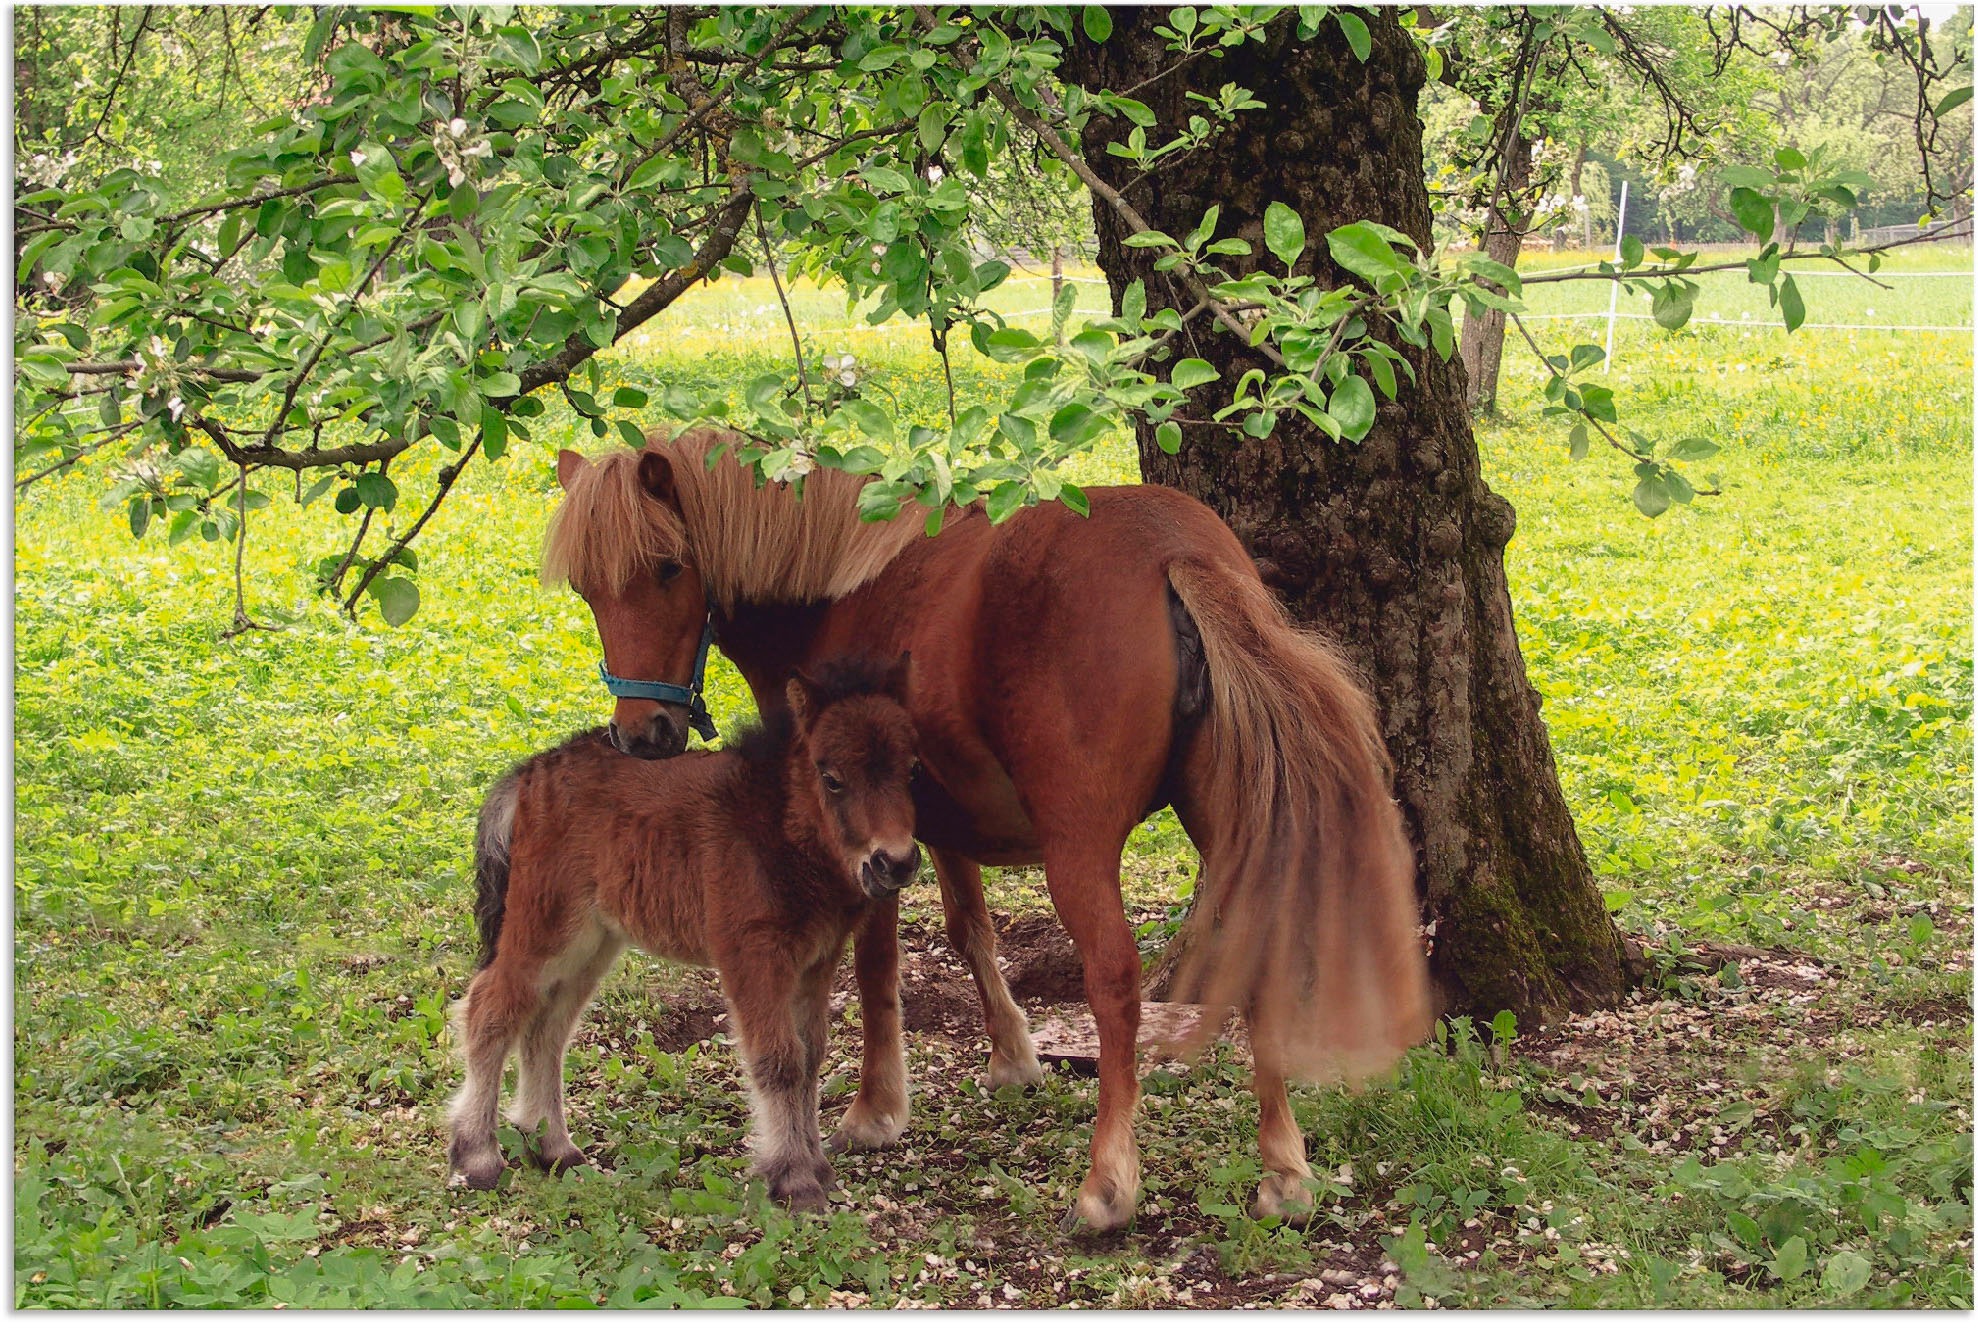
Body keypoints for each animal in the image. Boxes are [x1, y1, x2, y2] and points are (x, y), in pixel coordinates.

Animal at [445, 654, 922, 1211]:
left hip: (592, 942)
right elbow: (779, 1060)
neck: (774, 824)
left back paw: (554, 1148)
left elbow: (809, 1059)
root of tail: (529, 773)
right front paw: (794, 1181)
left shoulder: (815, 962)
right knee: (491, 1009)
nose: (895, 863)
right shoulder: (751, 955)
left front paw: (818, 1170)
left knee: (548, 1027)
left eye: (912, 770)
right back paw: (477, 1156)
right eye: (832, 778)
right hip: (545, 927)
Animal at [543, 431, 1430, 1232]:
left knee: (1114, 983)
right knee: (1256, 952)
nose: (642, 735)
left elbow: (876, 967)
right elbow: (970, 928)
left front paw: (875, 1108)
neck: (836, 589)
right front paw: (1012, 1055)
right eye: (585, 589)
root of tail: (1173, 552)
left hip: (1080, 850)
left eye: (667, 567)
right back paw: (1284, 1172)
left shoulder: (866, 842)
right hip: (1227, 823)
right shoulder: (936, 825)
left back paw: (1108, 1185)